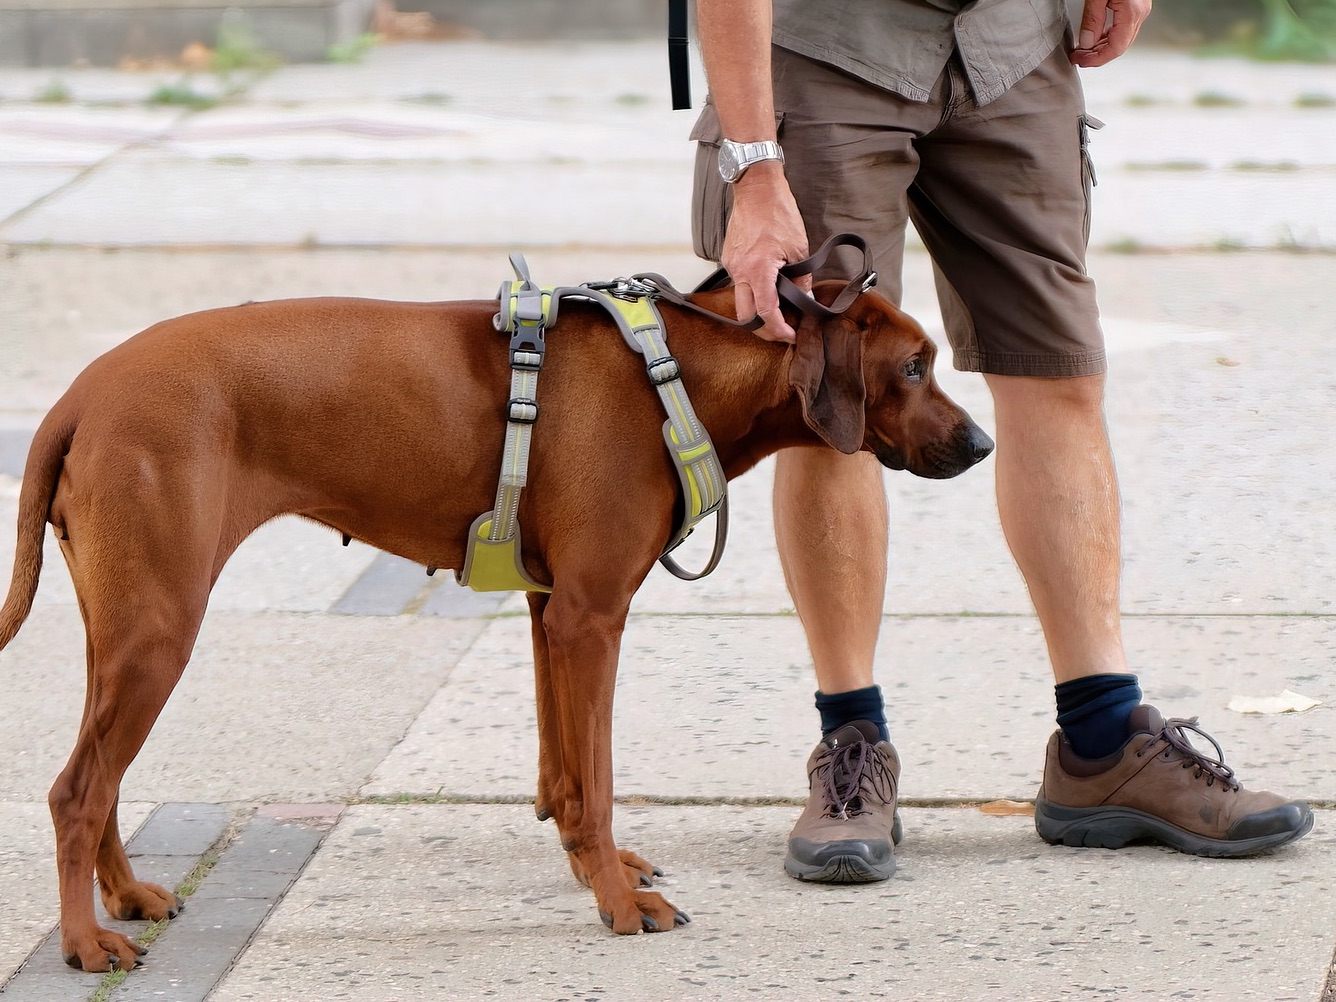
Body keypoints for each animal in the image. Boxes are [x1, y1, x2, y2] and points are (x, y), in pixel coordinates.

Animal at [0, 283, 983, 972]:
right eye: (914, 367)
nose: (981, 445)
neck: (678, 375)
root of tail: (80, 396)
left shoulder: (554, 611)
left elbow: (569, 776)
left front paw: (597, 870)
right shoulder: (592, 616)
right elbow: (600, 775)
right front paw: (618, 904)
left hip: (123, 629)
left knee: (100, 778)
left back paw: (124, 896)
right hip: (160, 629)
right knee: (76, 789)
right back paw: (84, 944)